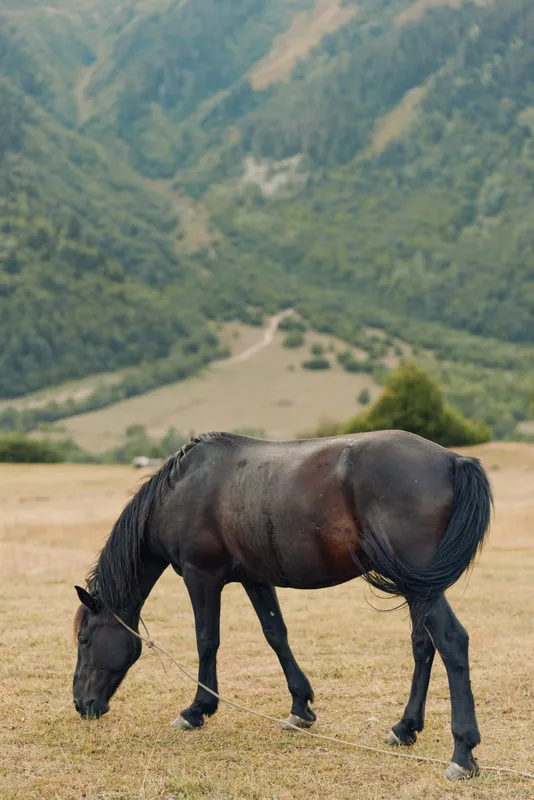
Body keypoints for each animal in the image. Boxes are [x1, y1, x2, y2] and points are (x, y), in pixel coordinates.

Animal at [73, 430, 492, 781]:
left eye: (84, 639)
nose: (81, 704)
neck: (183, 489)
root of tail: (453, 460)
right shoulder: (255, 579)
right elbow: (276, 634)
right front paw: (300, 708)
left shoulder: (200, 577)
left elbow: (207, 641)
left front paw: (197, 710)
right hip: (416, 587)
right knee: (423, 645)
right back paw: (404, 728)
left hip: (423, 586)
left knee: (452, 641)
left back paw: (462, 754)